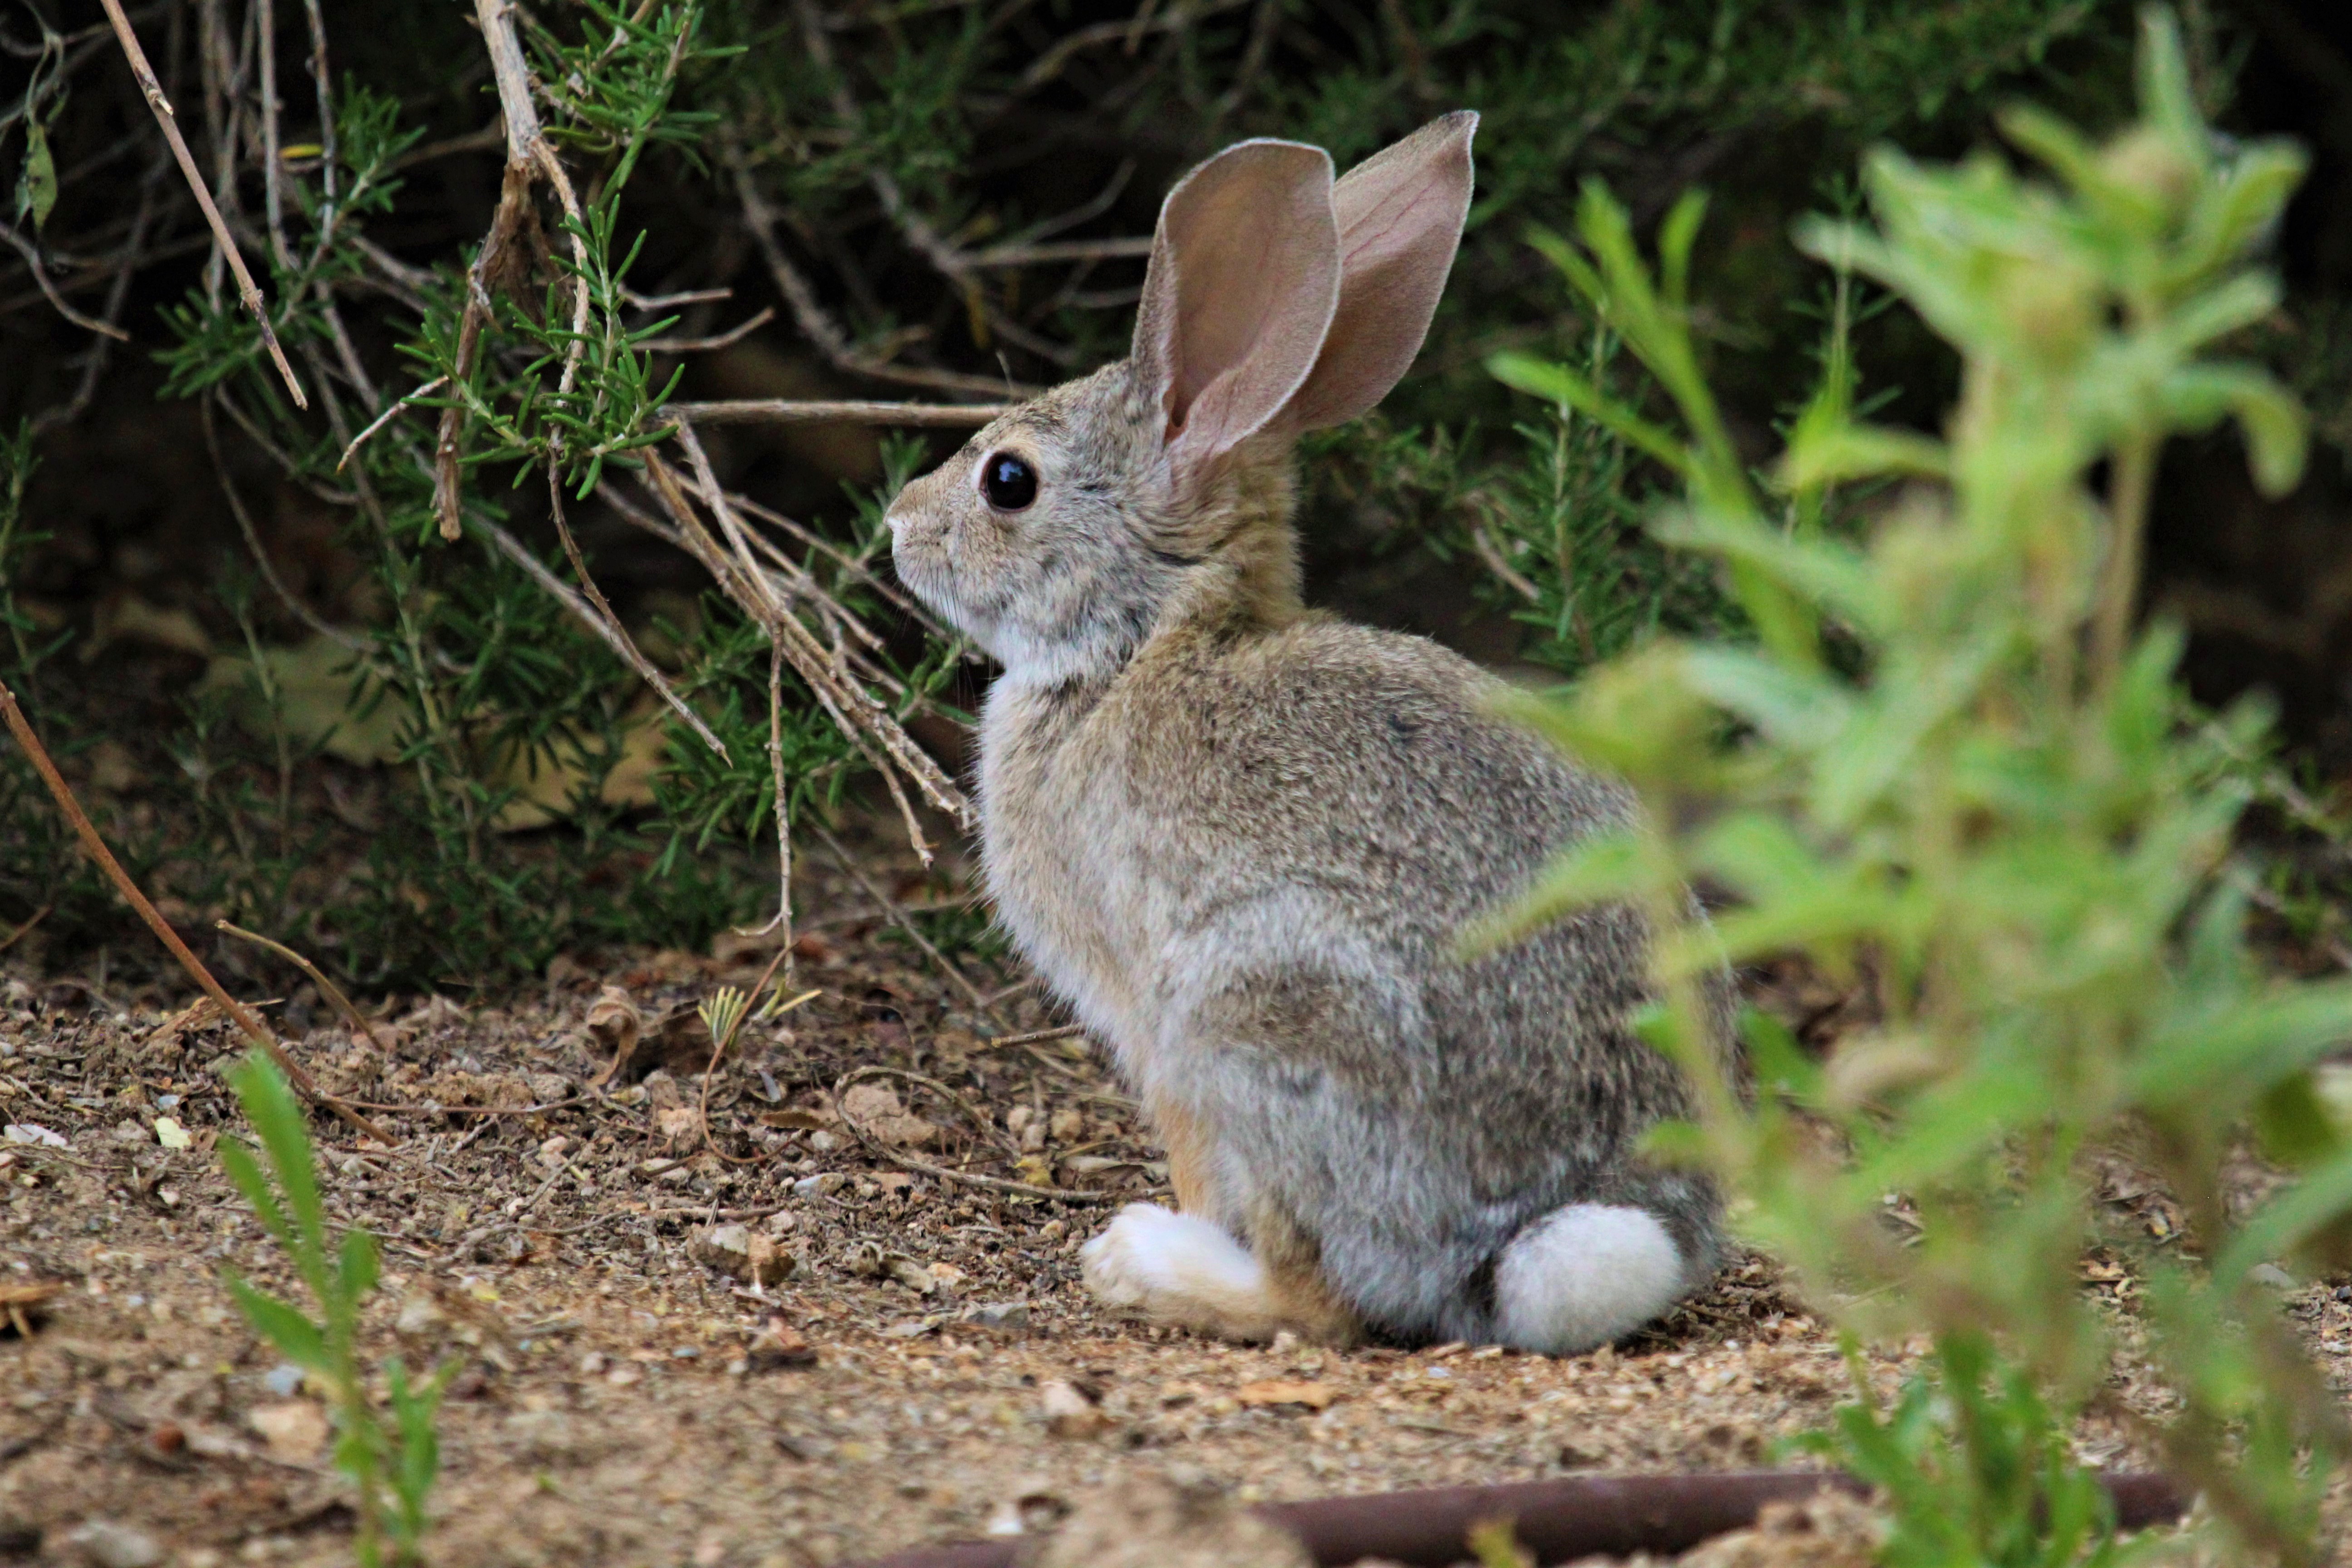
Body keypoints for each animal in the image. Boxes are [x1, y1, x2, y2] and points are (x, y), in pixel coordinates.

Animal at [889, 113, 1740, 1363]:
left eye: (1009, 482)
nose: (896, 524)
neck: (1141, 644)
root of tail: (1560, 1225)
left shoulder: (1152, 1024)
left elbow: (1199, 1163)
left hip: (1259, 1009)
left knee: (1322, 1299)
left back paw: (1145, 1263)